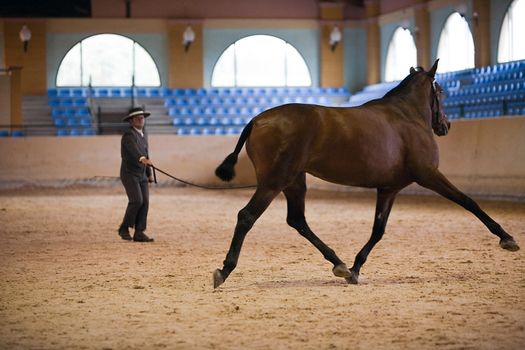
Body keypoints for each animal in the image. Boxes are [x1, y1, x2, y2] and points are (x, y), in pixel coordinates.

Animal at [211, 60, 516, 288]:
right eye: (440, 92)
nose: (446, 126)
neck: (407, 117)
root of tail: (256, 120)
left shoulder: (389, 188)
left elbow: (378, 229)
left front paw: (356, 268)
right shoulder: (429, 174)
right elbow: (469, 202)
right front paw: (506, 238)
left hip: (295, 181)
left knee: (297, 220)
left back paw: (340, 264)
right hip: (276, 181)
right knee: (247, 216)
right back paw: (224, 270)